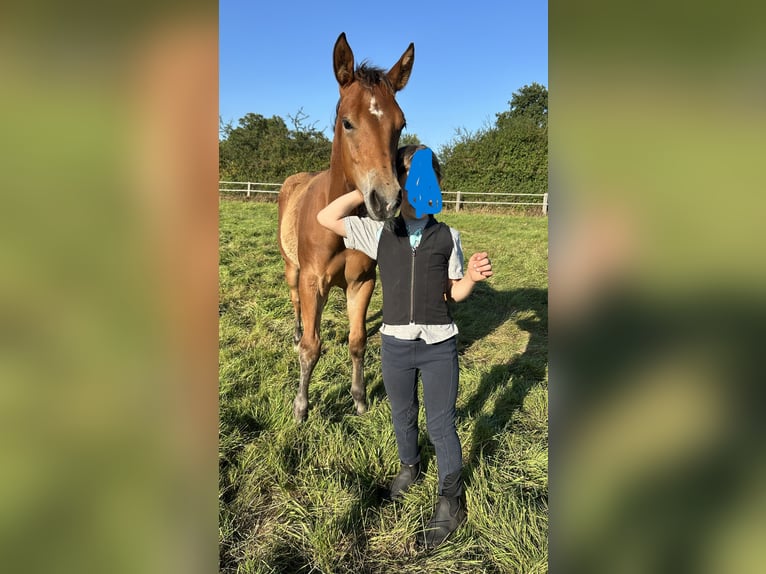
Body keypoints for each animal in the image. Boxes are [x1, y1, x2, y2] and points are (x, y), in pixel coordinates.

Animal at [277, 33, 414, 422]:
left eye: (400, 124)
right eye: (348, 122)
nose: (386, 200)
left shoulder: (362, 282)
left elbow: (357, 341)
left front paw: (360, 398)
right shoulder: (312, 281)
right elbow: (311, 347)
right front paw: (301, 408)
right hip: (292, 269)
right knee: (295, 303)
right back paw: (295, 332)